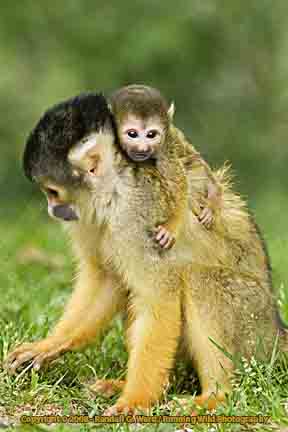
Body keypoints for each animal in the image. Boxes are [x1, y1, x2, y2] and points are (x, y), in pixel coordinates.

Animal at [109, 84, 220, 248]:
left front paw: (172, 225)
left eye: (151, 135)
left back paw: (214, 194)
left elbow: (179, 183)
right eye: (132, 134)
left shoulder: (165, 146)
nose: (142, 148)